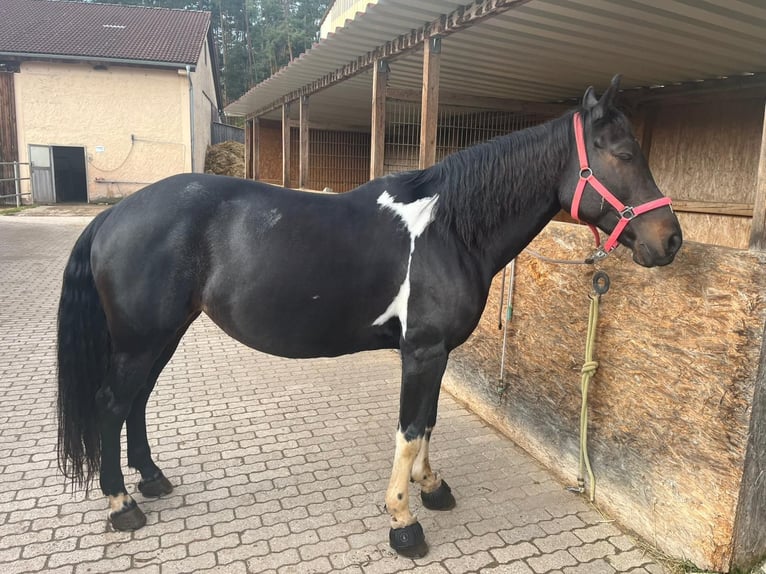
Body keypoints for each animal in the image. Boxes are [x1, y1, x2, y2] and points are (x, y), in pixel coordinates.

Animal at [56, 76, 682, 557]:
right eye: (624, 154)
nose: (671, 240)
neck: (449, 230)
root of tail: (115, 214)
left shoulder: (436, 353)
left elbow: (428, 422)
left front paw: (433, 488)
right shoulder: (421, 351)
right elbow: (408, 431)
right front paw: (403, 521)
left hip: (162, 335)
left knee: (136, 402)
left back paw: (152, 481)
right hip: (142, 340)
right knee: (112, 404)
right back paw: (122, 504)